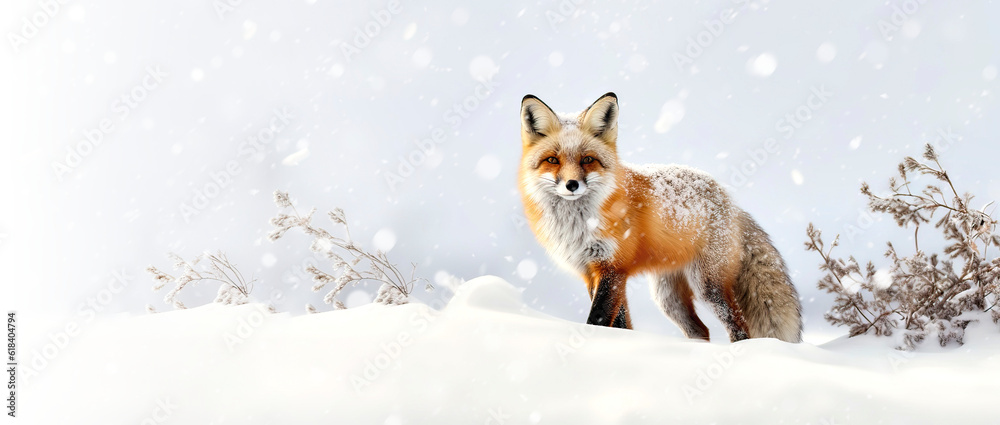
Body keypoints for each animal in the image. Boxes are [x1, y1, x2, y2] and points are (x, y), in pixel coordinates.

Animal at [518, 92, 802, 343]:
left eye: (587, 159)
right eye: (552, 160)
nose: (572, 185)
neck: (579, 225)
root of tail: (729, 200)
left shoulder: (612, 267)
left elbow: (598, 319)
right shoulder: (592, 271)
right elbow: (620, 324)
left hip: (707, 286)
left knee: (739, 326)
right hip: (667, 297)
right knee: (700, 330)